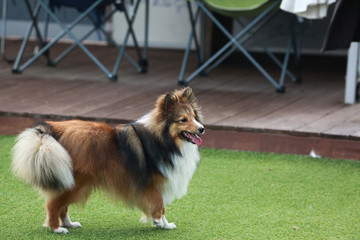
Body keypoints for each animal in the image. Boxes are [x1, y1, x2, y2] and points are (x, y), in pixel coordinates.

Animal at [11, 87, 204, 233]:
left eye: (194, 117)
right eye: (183, 120)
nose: (202, 129)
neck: (164, 139)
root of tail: (54, 129)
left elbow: (162, 206)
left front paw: (165, 225)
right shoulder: (152, 182)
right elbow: (158, 203)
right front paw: (159, 222)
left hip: (71, 181)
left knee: (62, 205)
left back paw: (69, 224)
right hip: (75, 180)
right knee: (53, 204)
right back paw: (57, 229)